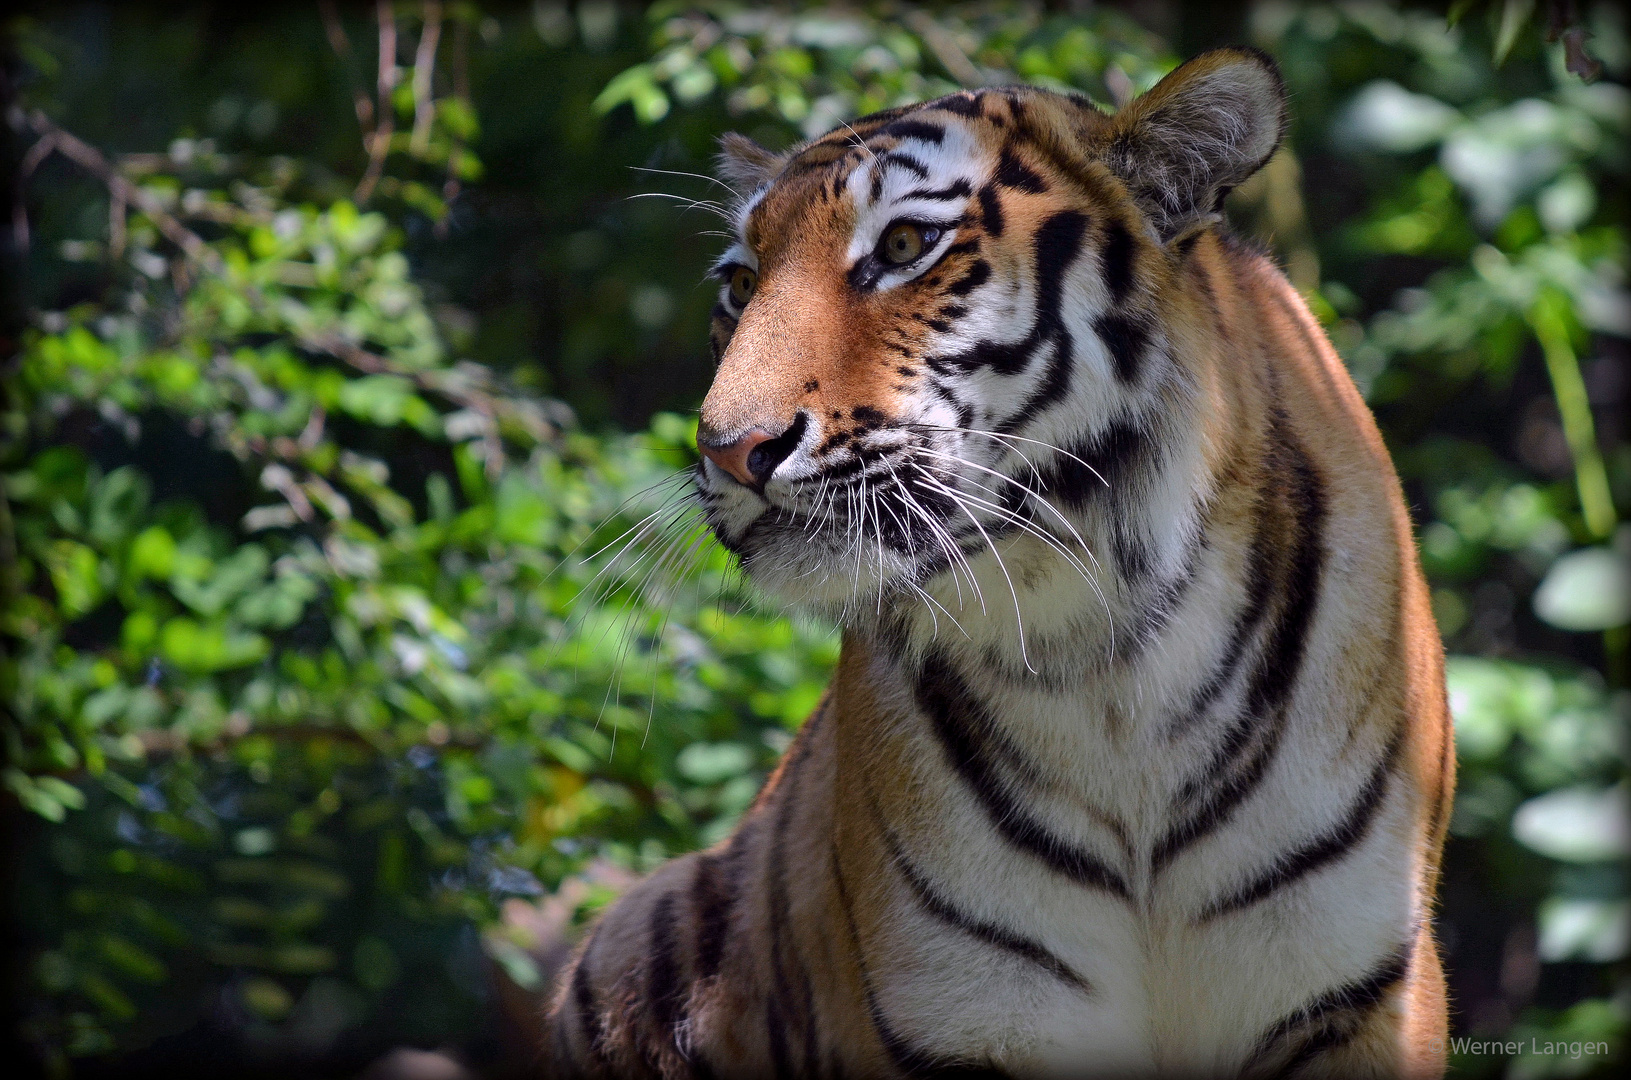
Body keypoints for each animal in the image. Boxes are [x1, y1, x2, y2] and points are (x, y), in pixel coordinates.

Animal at [548, 48, 1454, 1080]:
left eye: (904, 244)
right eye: (741, 284)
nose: (729, 448)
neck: (1105, 657)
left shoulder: (1364, 994)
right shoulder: (963, 1012)